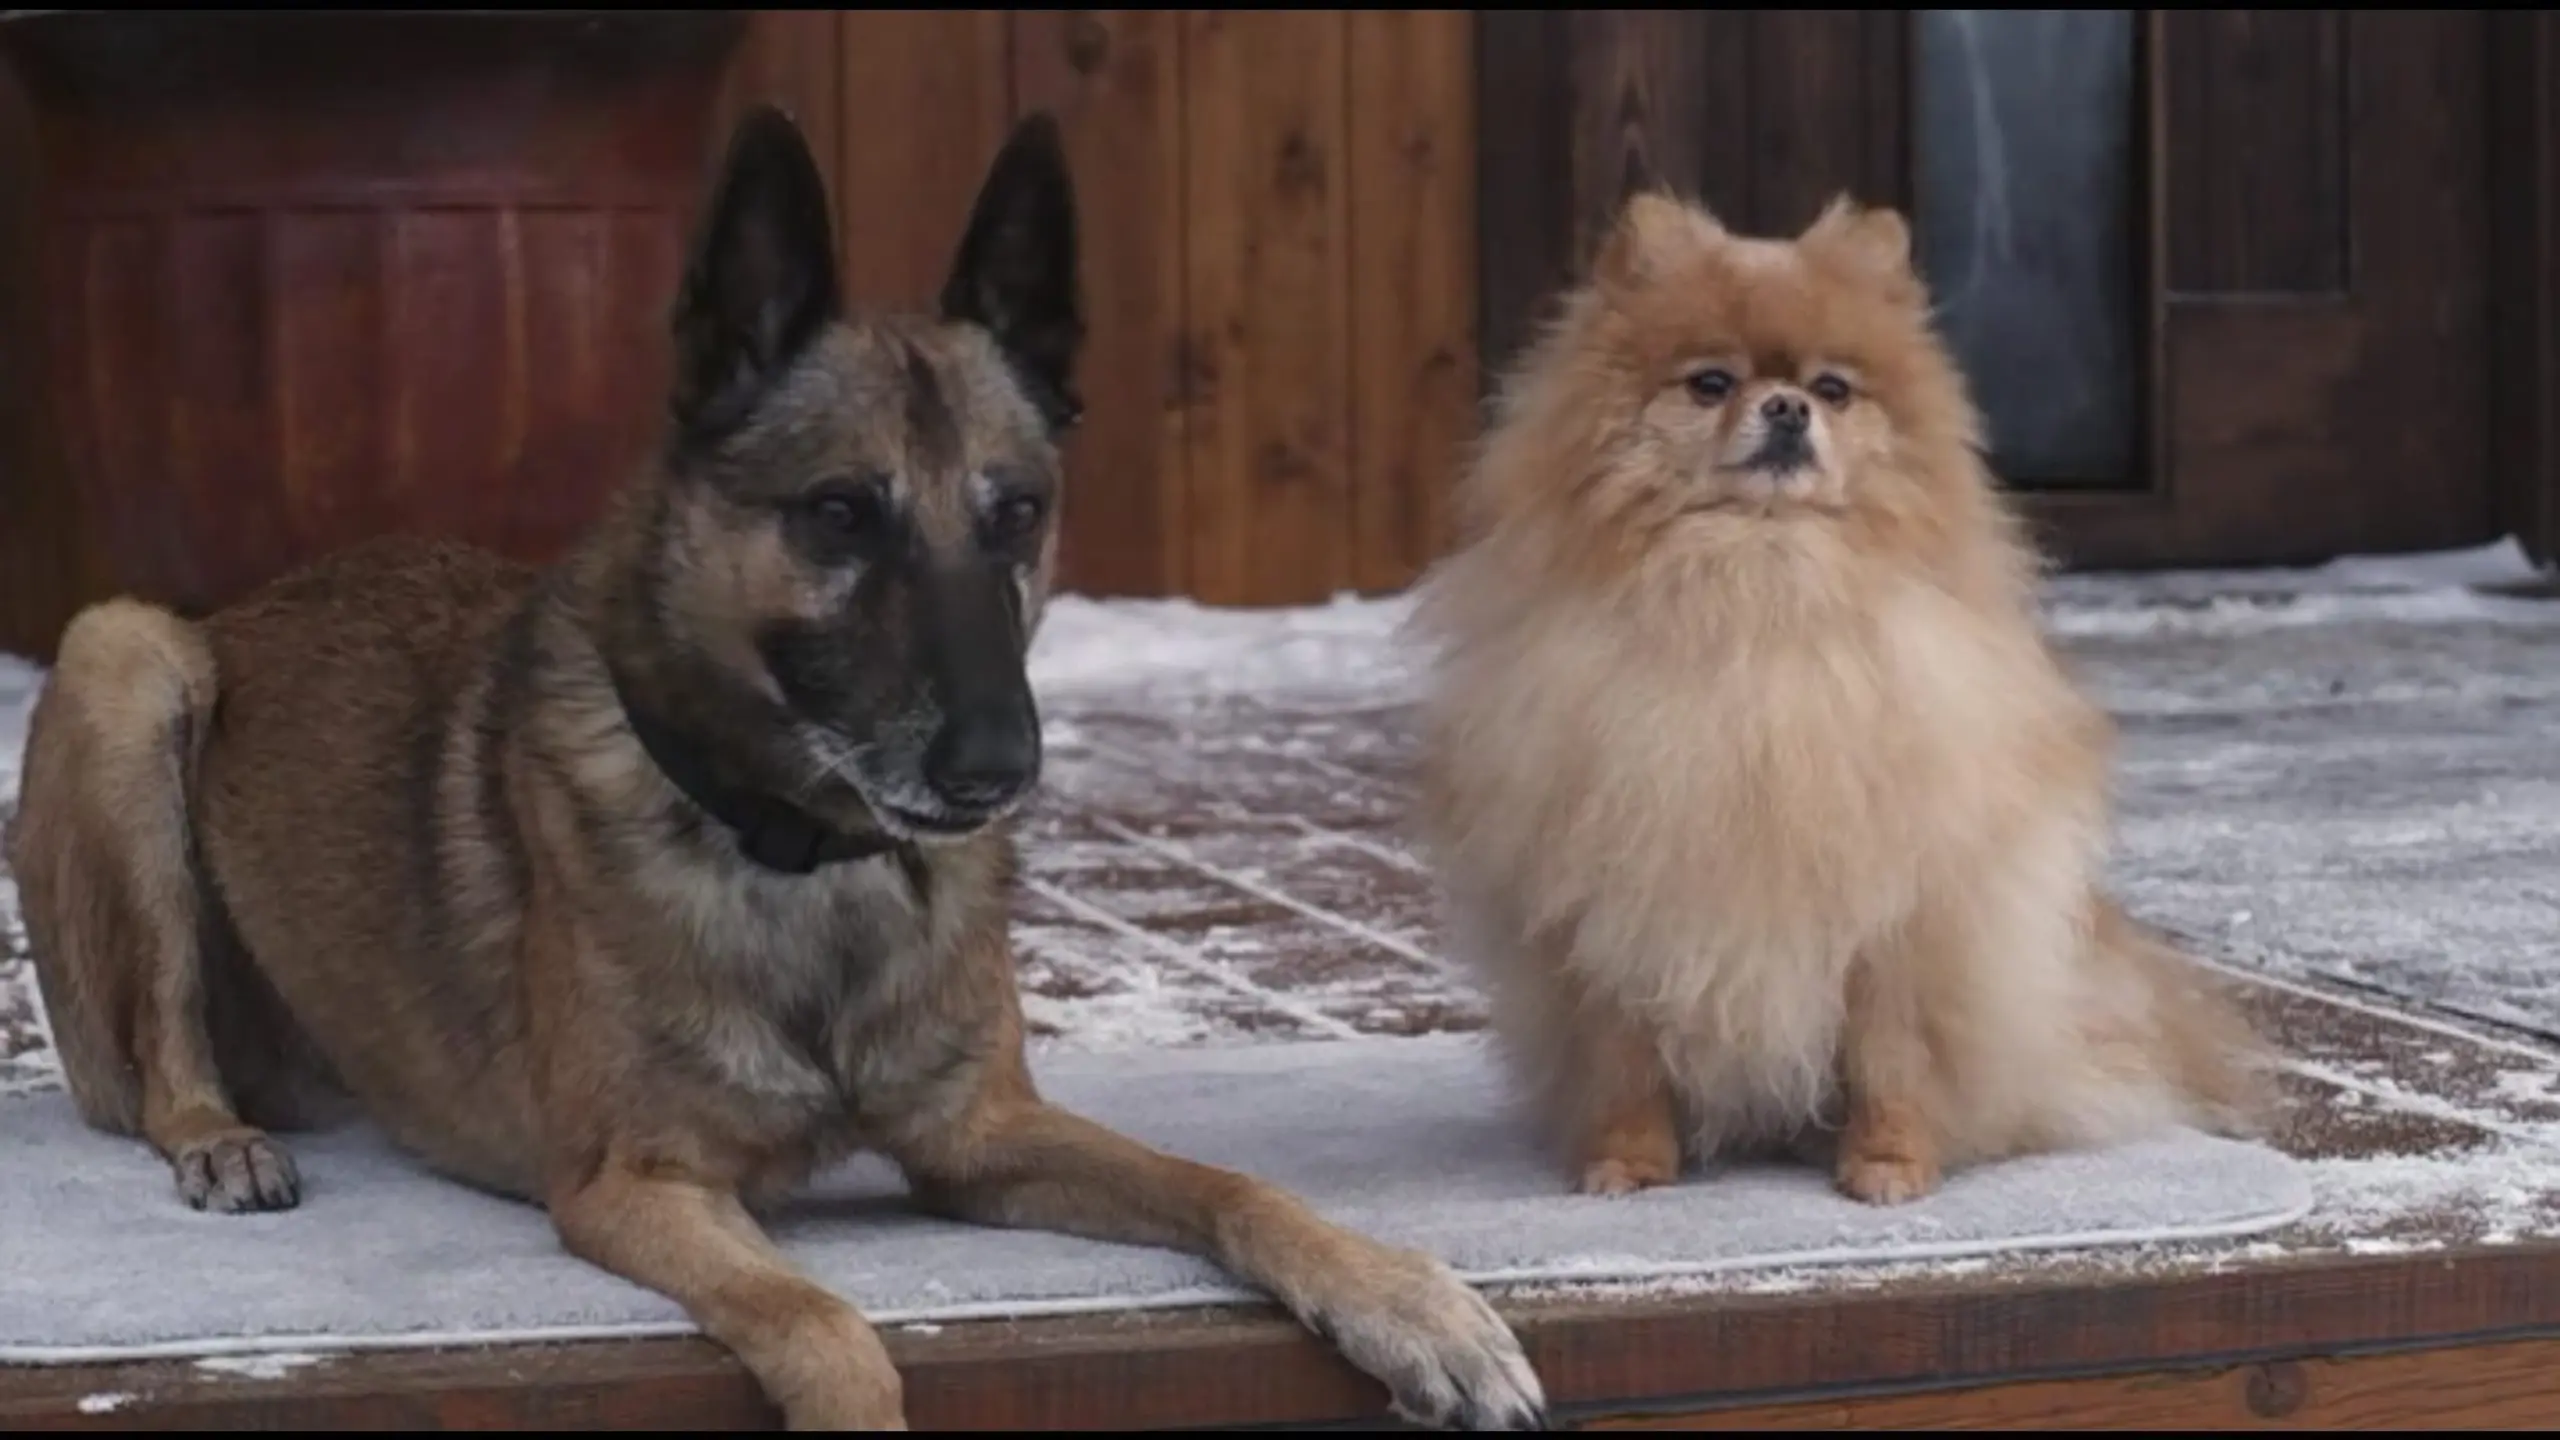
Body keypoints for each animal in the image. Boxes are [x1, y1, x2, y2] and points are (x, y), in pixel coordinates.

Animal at [5, 109, 1536, 1424]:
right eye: (841, 513)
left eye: (1017, 514)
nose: (999, 768)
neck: (800, 860)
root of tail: (246, 605)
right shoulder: (637, 1186)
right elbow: (823, 1325)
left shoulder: (987, 1137)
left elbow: (1234, 1184)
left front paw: (1411, 1305)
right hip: (126, 661)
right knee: (162, 1058)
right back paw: (217, 1138)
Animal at [1413, 190, 2273, 1199]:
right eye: (1711, 383)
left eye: (1831, 390)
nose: (1785, 406)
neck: (1759, 591)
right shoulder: (1608, 914)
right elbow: (1625, 1062)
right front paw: (1627, 1161)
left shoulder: (1899, 917)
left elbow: (1891, 1058)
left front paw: (1888, 1164)